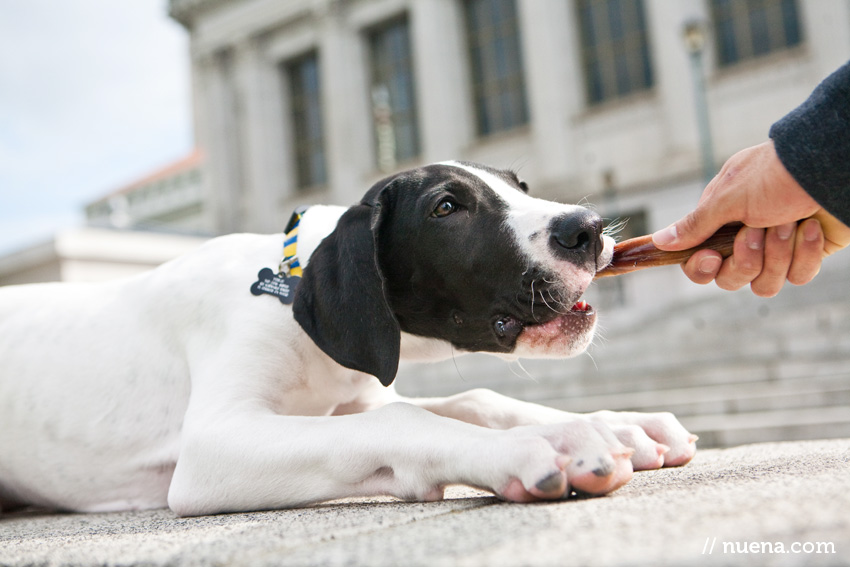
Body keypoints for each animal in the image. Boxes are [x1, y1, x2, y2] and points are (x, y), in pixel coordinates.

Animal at [0, 162, 696, 516]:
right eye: (447, 208)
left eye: (518, 187)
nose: (588, 227)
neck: (285, 294)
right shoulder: (211, 448)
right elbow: (405, 423)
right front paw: (543, 447)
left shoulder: (355, 399)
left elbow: (475, 401)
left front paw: (615, 423)